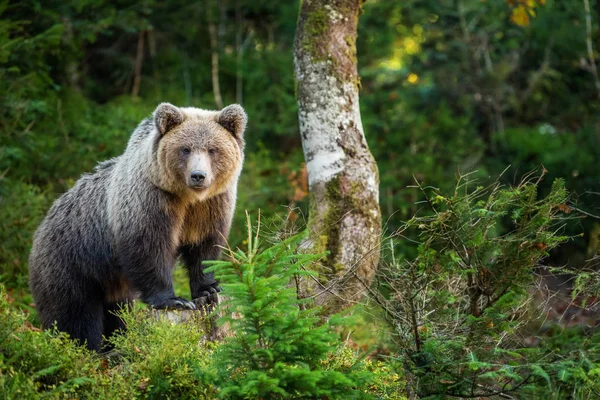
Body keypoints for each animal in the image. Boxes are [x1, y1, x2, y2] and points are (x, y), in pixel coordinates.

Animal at [28, 102, 246, 350]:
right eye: (185, 149)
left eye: (212, 149)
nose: (198, 176)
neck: (187, 198)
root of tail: (41, 227)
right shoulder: (150, 199)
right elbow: (148, 247)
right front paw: (175, 300)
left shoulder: (211, 206)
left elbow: (205, 247)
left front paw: (209, 289)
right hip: (70, 263)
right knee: (74, 314)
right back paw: (85, 346)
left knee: (117, 311)